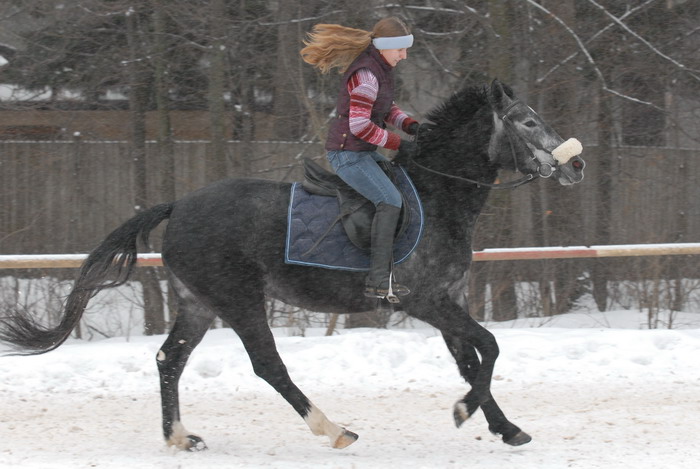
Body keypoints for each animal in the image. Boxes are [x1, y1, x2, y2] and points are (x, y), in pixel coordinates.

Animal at [0, 80, 585, 451]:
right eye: (528, 121)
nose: (576, 164)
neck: (440, 195)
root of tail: (179, 205)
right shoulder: (426, 300)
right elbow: (489, 347)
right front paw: (466, 412)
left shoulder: (450, 299)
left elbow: (472, 361)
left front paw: (506, 427)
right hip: (239, 299)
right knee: (268, 365)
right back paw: (334, 429)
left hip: (199, 303)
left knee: (170, 360)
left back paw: (179, 437)